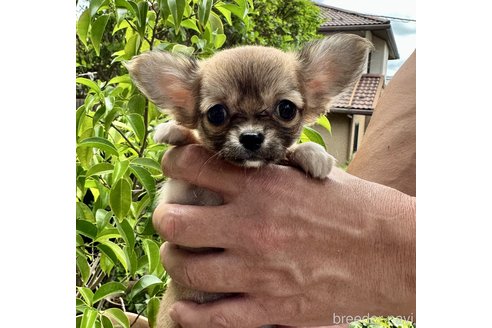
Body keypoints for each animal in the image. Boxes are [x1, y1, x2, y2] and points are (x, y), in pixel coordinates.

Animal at [127, 34, 372, 326]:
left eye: (286, 109)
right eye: (216, 113)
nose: (251, 137)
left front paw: (313, 154)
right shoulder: (182, 202)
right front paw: (173, 129)